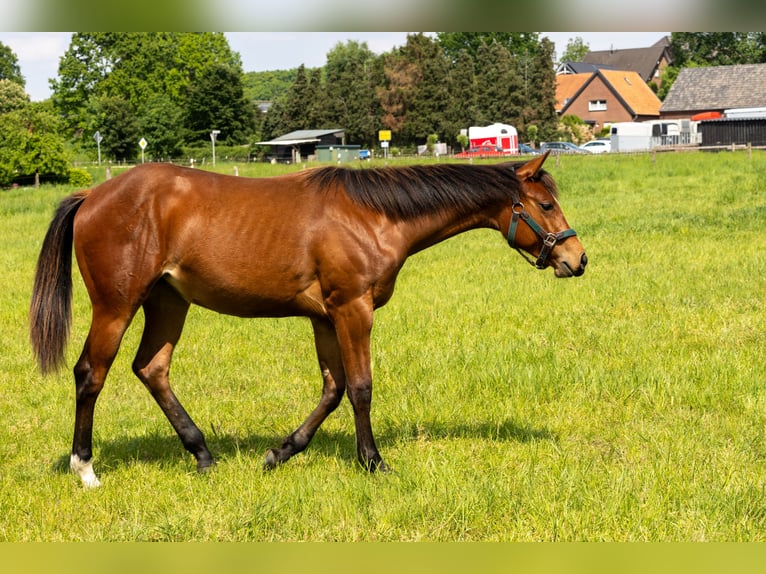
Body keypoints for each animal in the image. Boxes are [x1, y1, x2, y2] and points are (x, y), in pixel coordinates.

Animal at [29, 152, 587, 488]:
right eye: (545, 203)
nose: (577, 259)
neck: (373, 215)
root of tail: (92, 195)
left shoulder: (324, 318)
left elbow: (333, 389)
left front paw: (281, 452)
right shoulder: (352, 309)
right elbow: (360, 387)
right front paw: (373, 461)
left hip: (169, 302)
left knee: (152, 369)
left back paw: (202, 454)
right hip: (116, 307)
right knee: (90, 374)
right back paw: (85, 467)